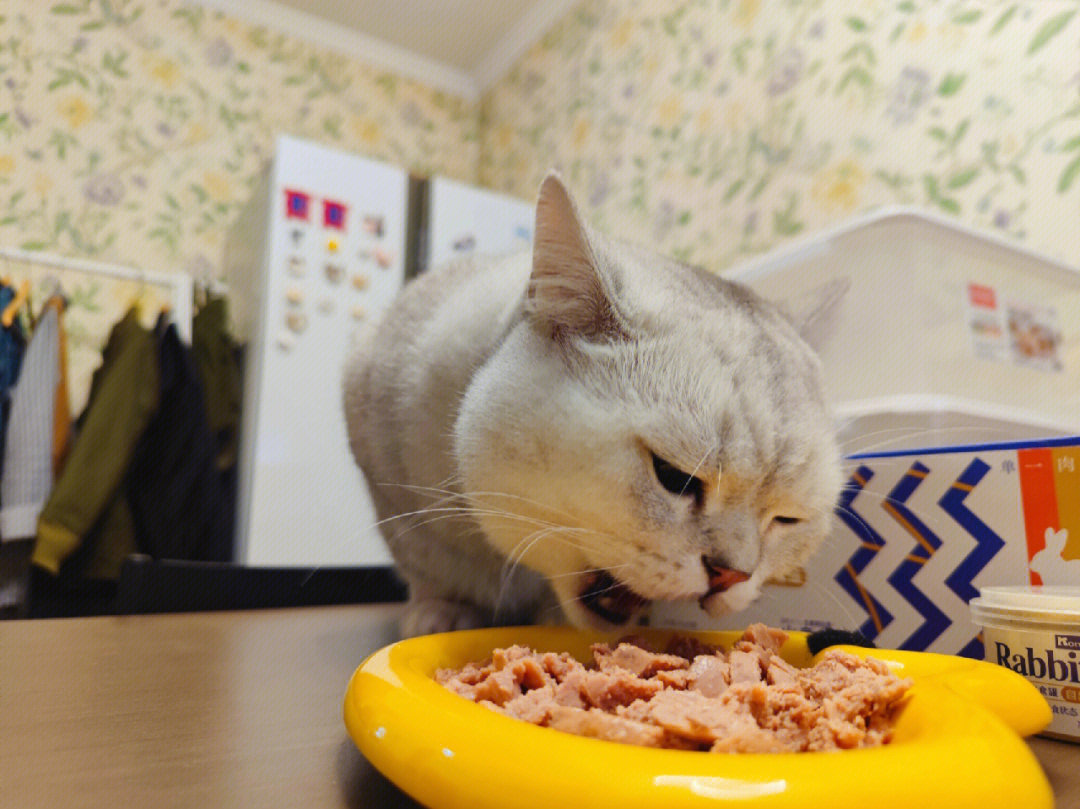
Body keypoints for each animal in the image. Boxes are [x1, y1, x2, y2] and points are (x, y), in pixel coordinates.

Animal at [341, 171, 838, 639]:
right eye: (674, 476)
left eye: (788, 519)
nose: (731, 576)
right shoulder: (391, 485)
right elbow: (429, 562)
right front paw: (444, 613)